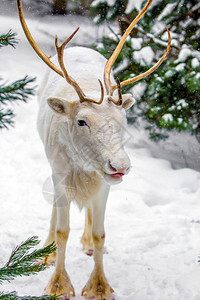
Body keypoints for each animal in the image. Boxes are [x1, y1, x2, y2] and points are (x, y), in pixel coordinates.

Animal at [17, 0, 170, 298]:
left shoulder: (103, 183)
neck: (83, 167)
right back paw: (47, 250)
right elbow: (63, 230)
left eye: (123, 119)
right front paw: (58, 284)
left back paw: (86, 242)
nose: (120, 165)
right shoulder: (60, 174)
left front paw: (99, 285)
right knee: (55, 212)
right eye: (82, 121)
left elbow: (101, 234)